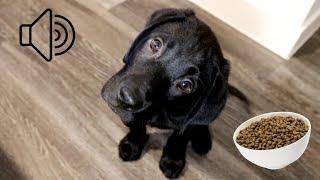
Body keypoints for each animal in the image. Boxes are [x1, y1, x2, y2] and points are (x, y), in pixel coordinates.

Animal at [101, 8, 246, 179]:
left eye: (185, 85)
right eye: (155, 44)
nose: (126, 98)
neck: (161, 108)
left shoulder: (186, 122)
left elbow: (178, 139)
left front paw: (172, 160)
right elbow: (137, 126)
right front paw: (132, 145)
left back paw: (202, 138)